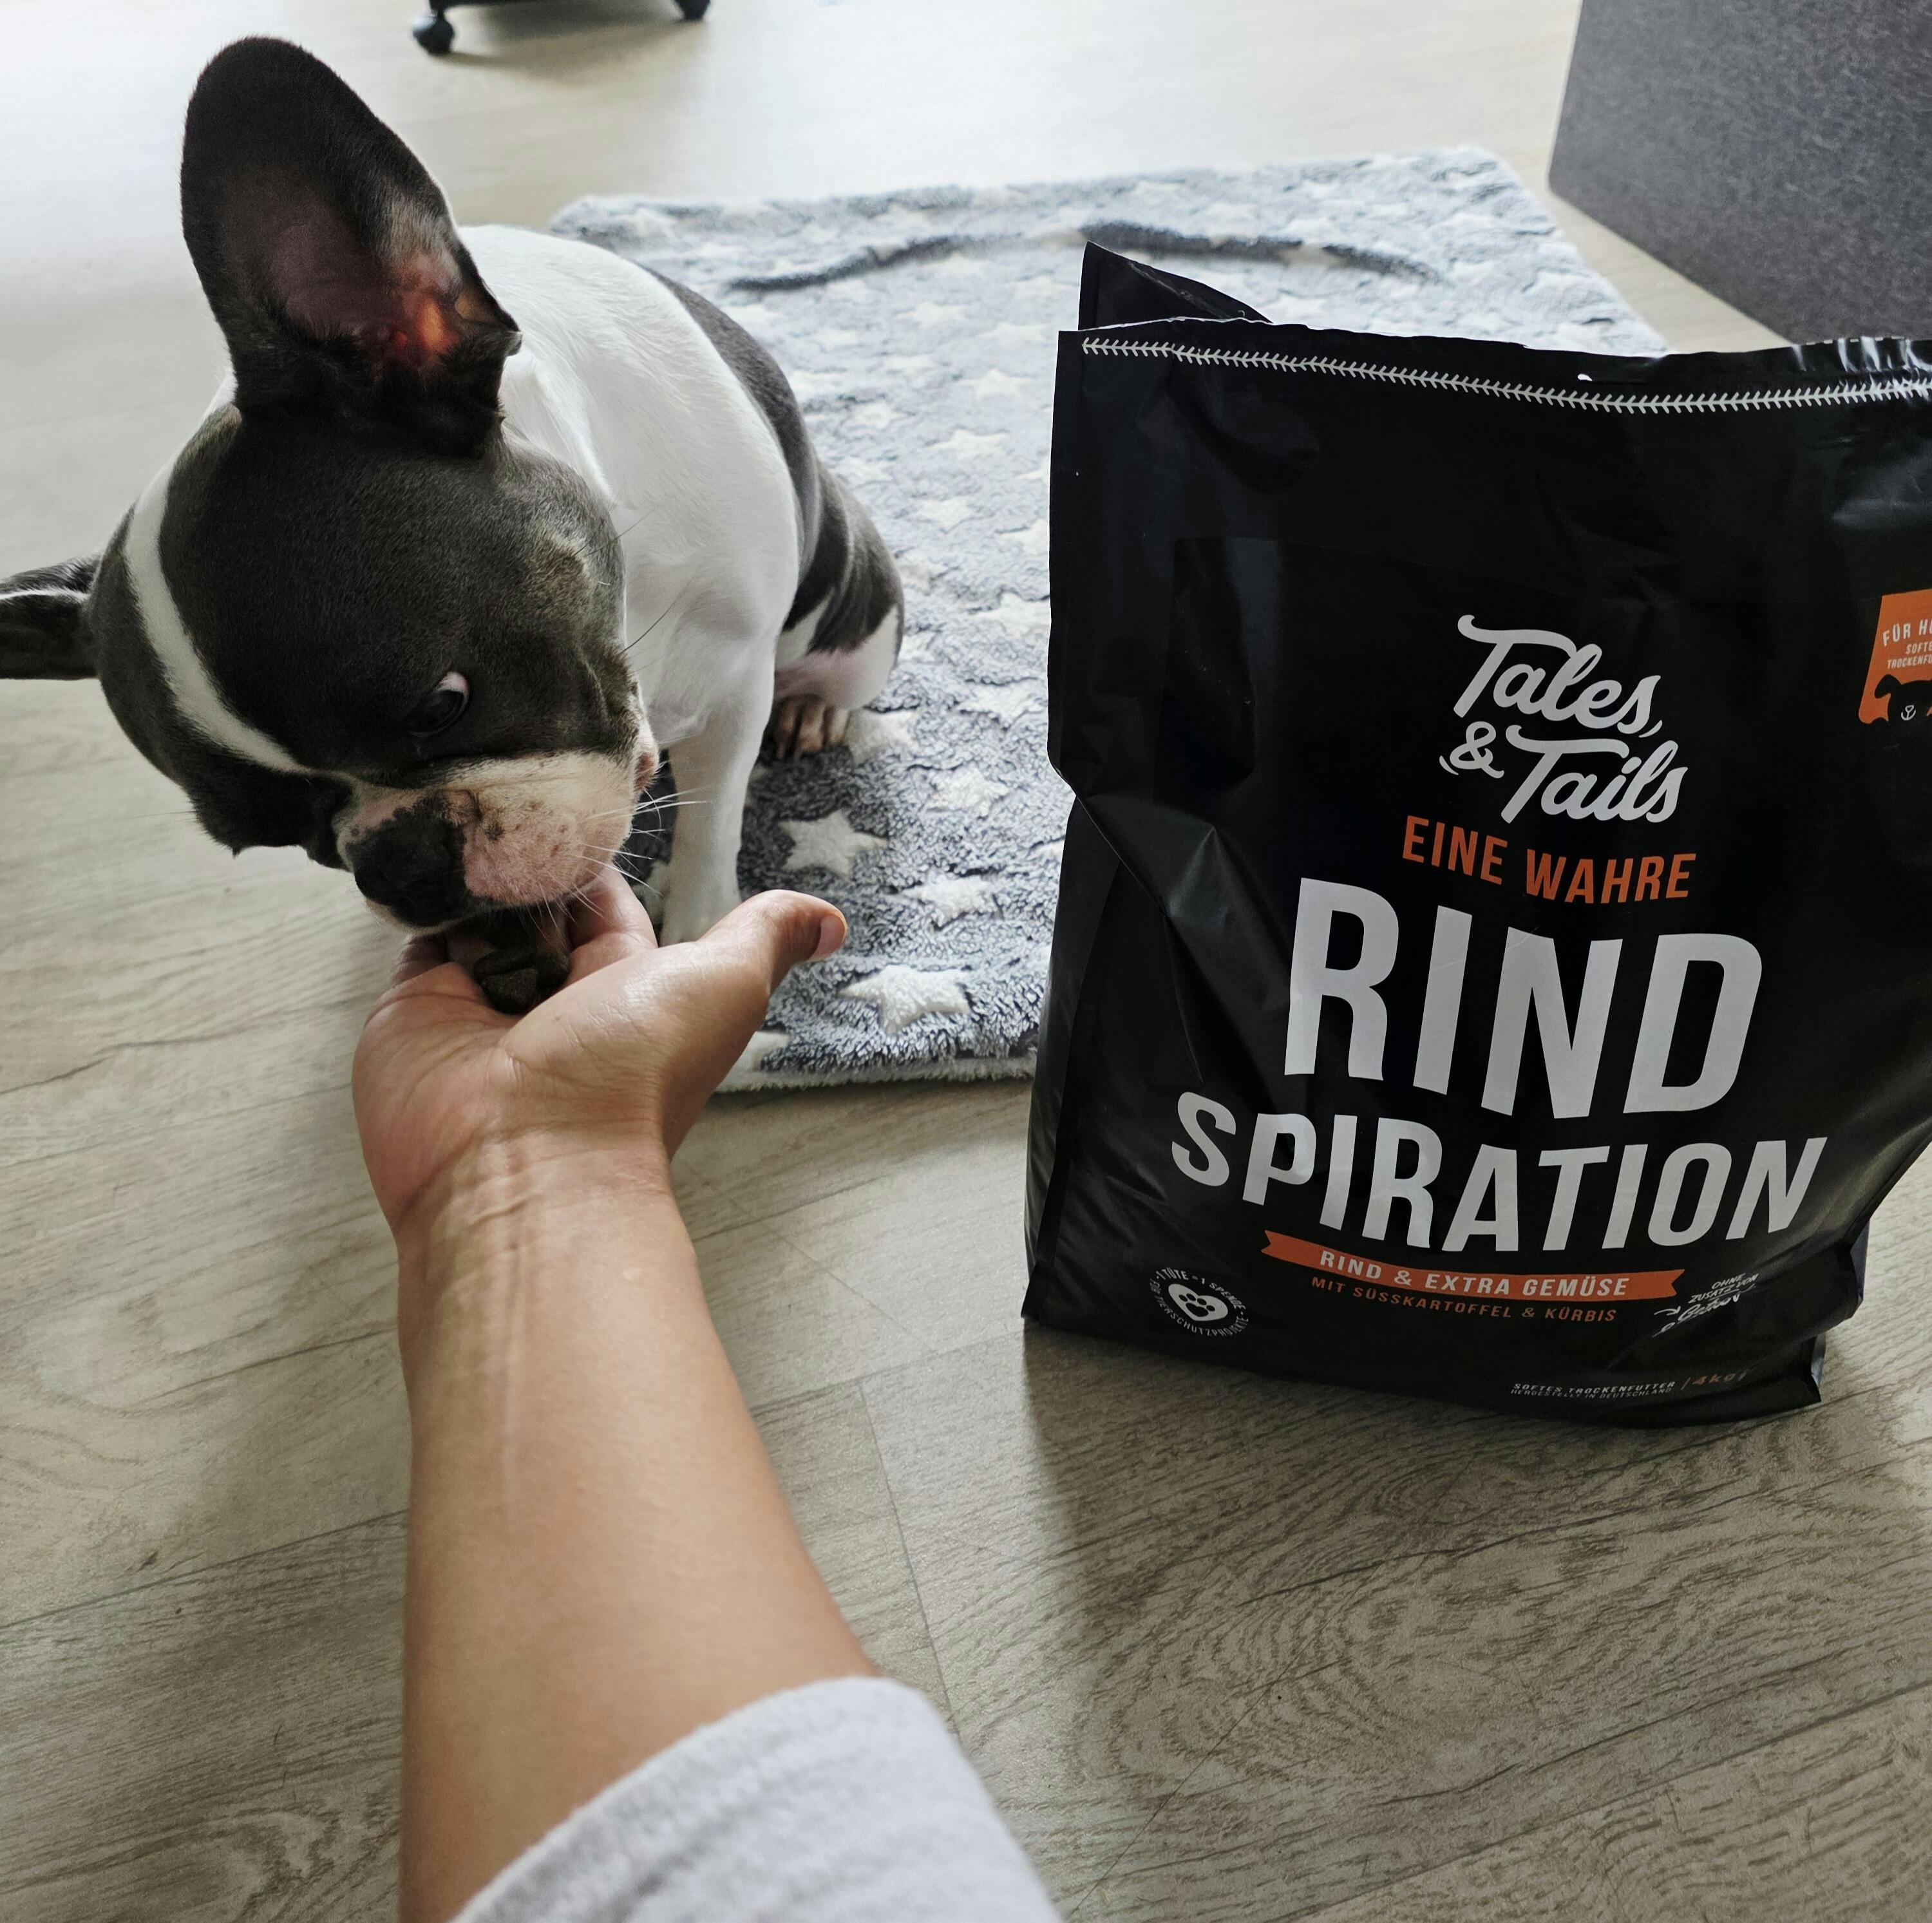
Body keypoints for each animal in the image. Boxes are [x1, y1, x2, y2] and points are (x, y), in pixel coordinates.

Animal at [0, 38, 900, 950]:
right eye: (275, 838)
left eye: (441, 707)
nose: (401, 867)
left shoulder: (734, 694)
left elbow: (711, 826)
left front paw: (696, 930)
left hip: (862, 617)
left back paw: (811, 707)